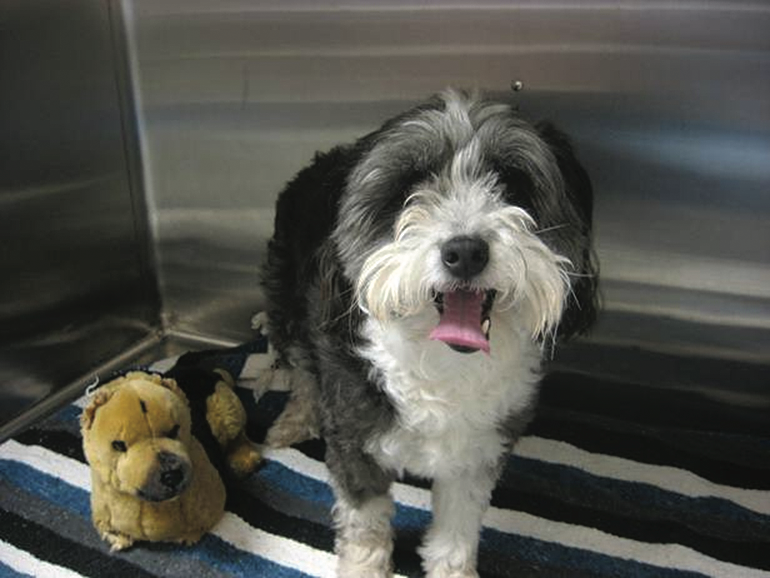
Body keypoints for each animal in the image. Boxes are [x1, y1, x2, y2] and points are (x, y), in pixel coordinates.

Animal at [256, 89, 592, 576]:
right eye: (407, 190)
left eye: (512, 185)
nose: (466, 251)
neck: (443, 367)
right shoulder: (354, 443)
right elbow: (365, 523)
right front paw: (364, 568)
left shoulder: (477, 454)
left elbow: (456, 531)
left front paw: (453, 569)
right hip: (286, 303)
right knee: (301, 368)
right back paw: (293, 420)